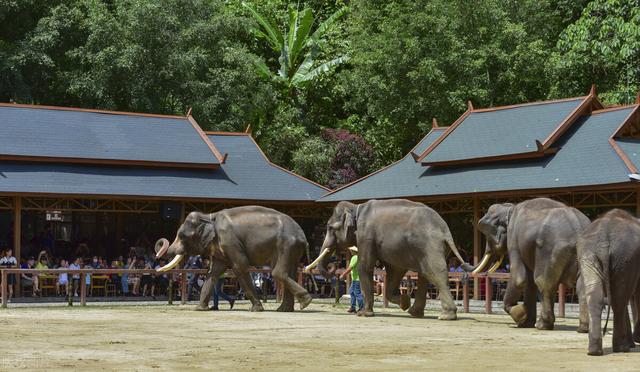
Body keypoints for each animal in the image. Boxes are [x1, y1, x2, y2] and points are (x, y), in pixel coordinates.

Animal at [156, 206, 314, 310]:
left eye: (182, 236)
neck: (208, 216)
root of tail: (303, 235)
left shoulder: (229, 240)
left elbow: (240, 267)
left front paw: (256, 309)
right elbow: (213, 272)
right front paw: (200, 309)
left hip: (285, 245)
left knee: (278, 272)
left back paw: (305, 302)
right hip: (291, 249)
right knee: (290, 272)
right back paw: (286, 309)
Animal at [302, 199, 468, 318]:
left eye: (330, 228)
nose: (335, 265)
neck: (356, 208)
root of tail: (445, 230)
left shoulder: (366, 236)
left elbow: (365, 266)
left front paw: (363, 314)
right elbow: (395, 270)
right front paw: (404, 301)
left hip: (430, 246)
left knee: (435, 273)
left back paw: (446, 316)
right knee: (424, 275)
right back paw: (414, 313)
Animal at [470, 198, 592, 332]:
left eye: (487, 235)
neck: (510, 207)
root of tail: (577, 229)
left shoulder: (514, 239)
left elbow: (520, 278)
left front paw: (520, 315)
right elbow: (529, 281)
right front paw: (525, 323)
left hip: (550, 251)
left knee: (544, 282)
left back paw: (542, 325)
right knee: (583, 286)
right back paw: (583, 328)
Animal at [576, 208, 640, 356]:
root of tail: (604, 238)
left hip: (588, 254)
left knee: (596, 297)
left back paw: (594, 351)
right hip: (625, 257)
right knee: (620, 299)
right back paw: (622, 348)